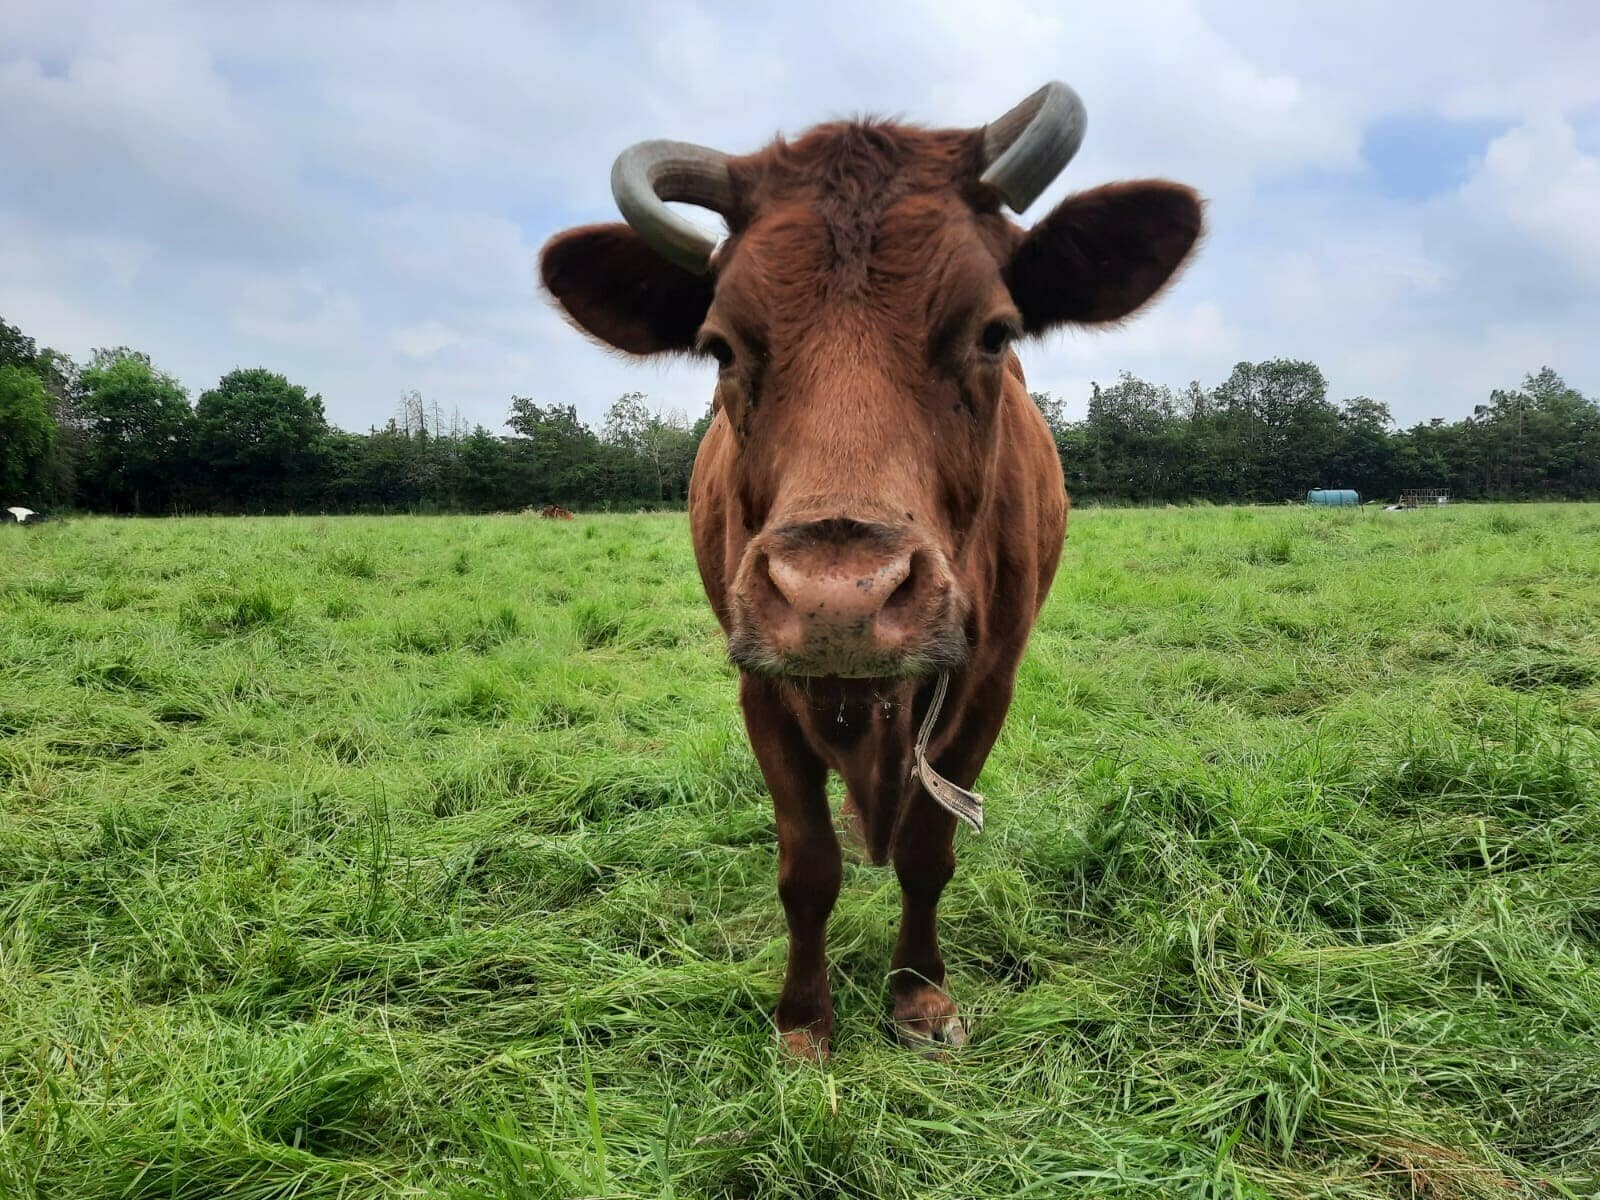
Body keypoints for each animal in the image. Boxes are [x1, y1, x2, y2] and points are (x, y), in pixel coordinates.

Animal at [540, 84, 1203, 1056]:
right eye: (722, 347)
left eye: (994, 333)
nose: (837, 602)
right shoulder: (762, 686)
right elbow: (807, 864)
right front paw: (803, 1019)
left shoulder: (988, 682)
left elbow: (929, 851)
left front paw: (919, 996)